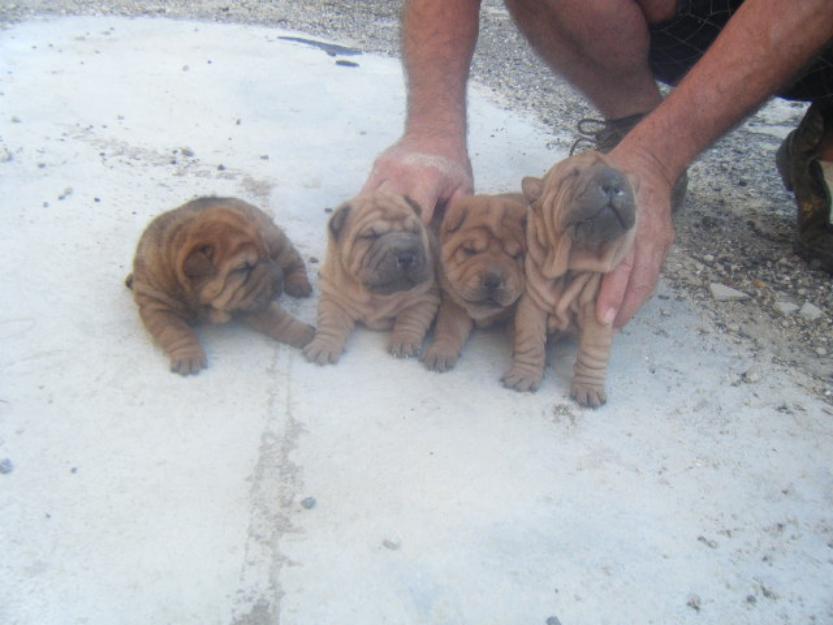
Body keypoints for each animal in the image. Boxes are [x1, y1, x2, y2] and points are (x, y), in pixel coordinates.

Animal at [128, 195, 314, 372]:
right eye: (244, 268)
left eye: (267, 255)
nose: (279, 279)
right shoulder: (158, 307)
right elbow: (176, 332)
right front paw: (189, 357)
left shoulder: (254, 300)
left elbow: (279, 320)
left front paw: (306, 333)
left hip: (274, 237)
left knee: (292, 258)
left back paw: (299, 284)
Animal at [302, 191, 438, 366]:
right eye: (371, 236)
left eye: (414, 231)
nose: (406, 255)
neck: (376, 296)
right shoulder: (334, 297)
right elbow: (331, 322)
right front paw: (323, 346)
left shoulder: (424, 296)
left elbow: (412, 318)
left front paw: (404, 342)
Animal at [422, 193, 528, 370]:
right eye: (470, 251)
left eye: (515, 256)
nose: (493, 280)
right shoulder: (454, 305)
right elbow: (450, 328)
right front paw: (441, 352)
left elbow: (520, 332)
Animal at [500, 150, 636, 404]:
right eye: (573, 174)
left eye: (622, 175)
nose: (613, 183)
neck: (575, 260)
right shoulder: (532, 304)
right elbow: (530, 340)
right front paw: (525, 374)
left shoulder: (600, 310)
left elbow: (594, 350)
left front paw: (589, 387)